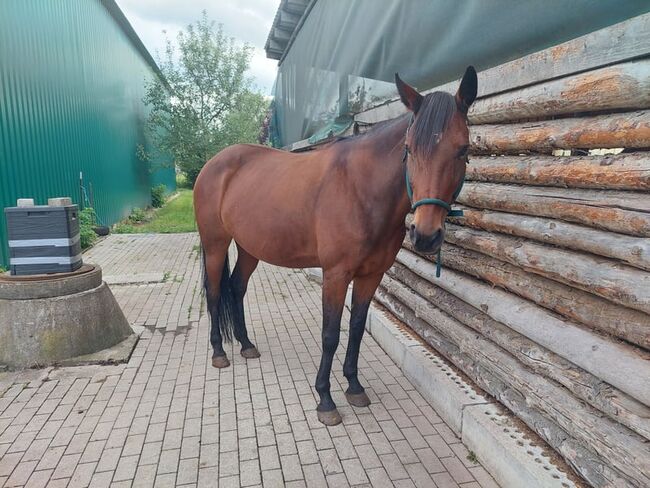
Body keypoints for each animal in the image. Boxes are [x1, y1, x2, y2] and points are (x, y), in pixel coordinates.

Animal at [192, 66, 476, 426]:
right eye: (409, 148)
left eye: (463, 149)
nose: (425, 234)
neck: (361, 189)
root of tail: (215, 163)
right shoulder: (336, 275)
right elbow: (330, 335)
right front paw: (325, 399)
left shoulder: (371, 275)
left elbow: (356, 328)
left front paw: (353, 386)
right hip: (215, 244)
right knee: (215, 292)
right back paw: (219, 351)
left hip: (249, 248)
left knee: (236, 287)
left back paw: (245, 344)